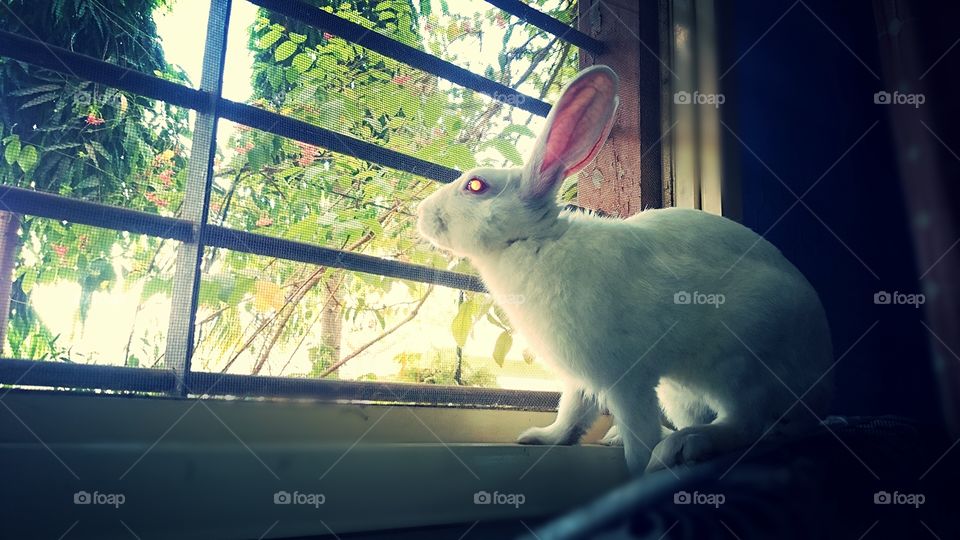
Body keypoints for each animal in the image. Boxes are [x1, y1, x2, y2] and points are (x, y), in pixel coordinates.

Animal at [416, 65, 833, 474]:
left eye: (476, 185)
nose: (422, 213)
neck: (535, 240)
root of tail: (815, 395)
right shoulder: (581, 379)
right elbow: (571, 413)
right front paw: (540, 437)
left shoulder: (626, 379)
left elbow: (637, 433)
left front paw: (637, 468)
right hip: (680, 391)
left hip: (738, 365)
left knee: (744, 423)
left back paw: (678, 449)